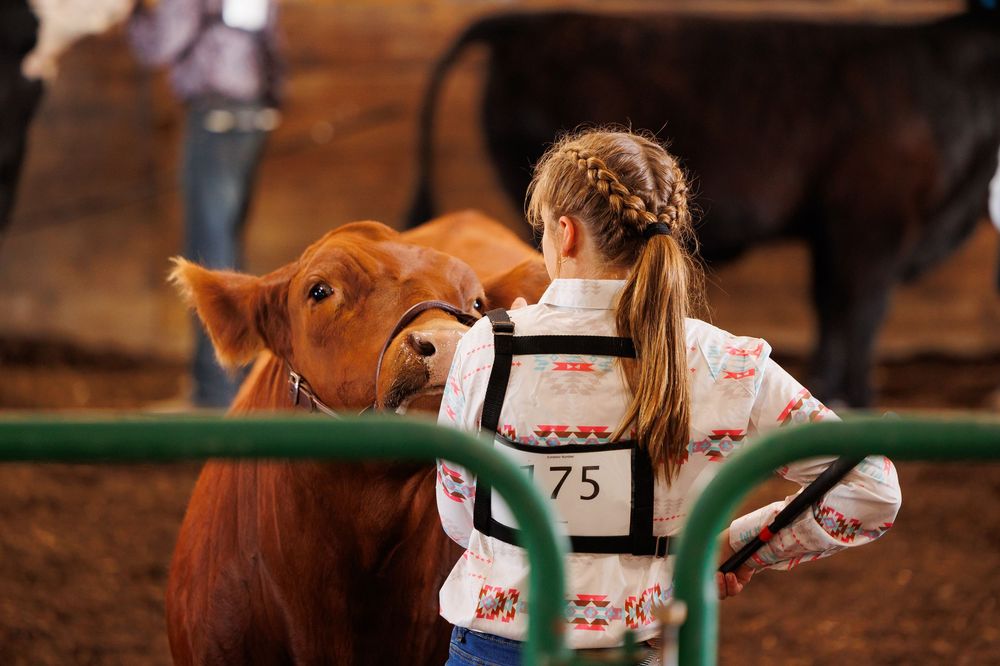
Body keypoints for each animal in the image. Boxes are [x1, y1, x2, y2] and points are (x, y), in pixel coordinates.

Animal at [406, 4, 1000, 407]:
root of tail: (524, 21)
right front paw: (854, 396)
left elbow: (838, 311)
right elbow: (857, 312)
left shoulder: (845, 232)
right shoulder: (868, 224)